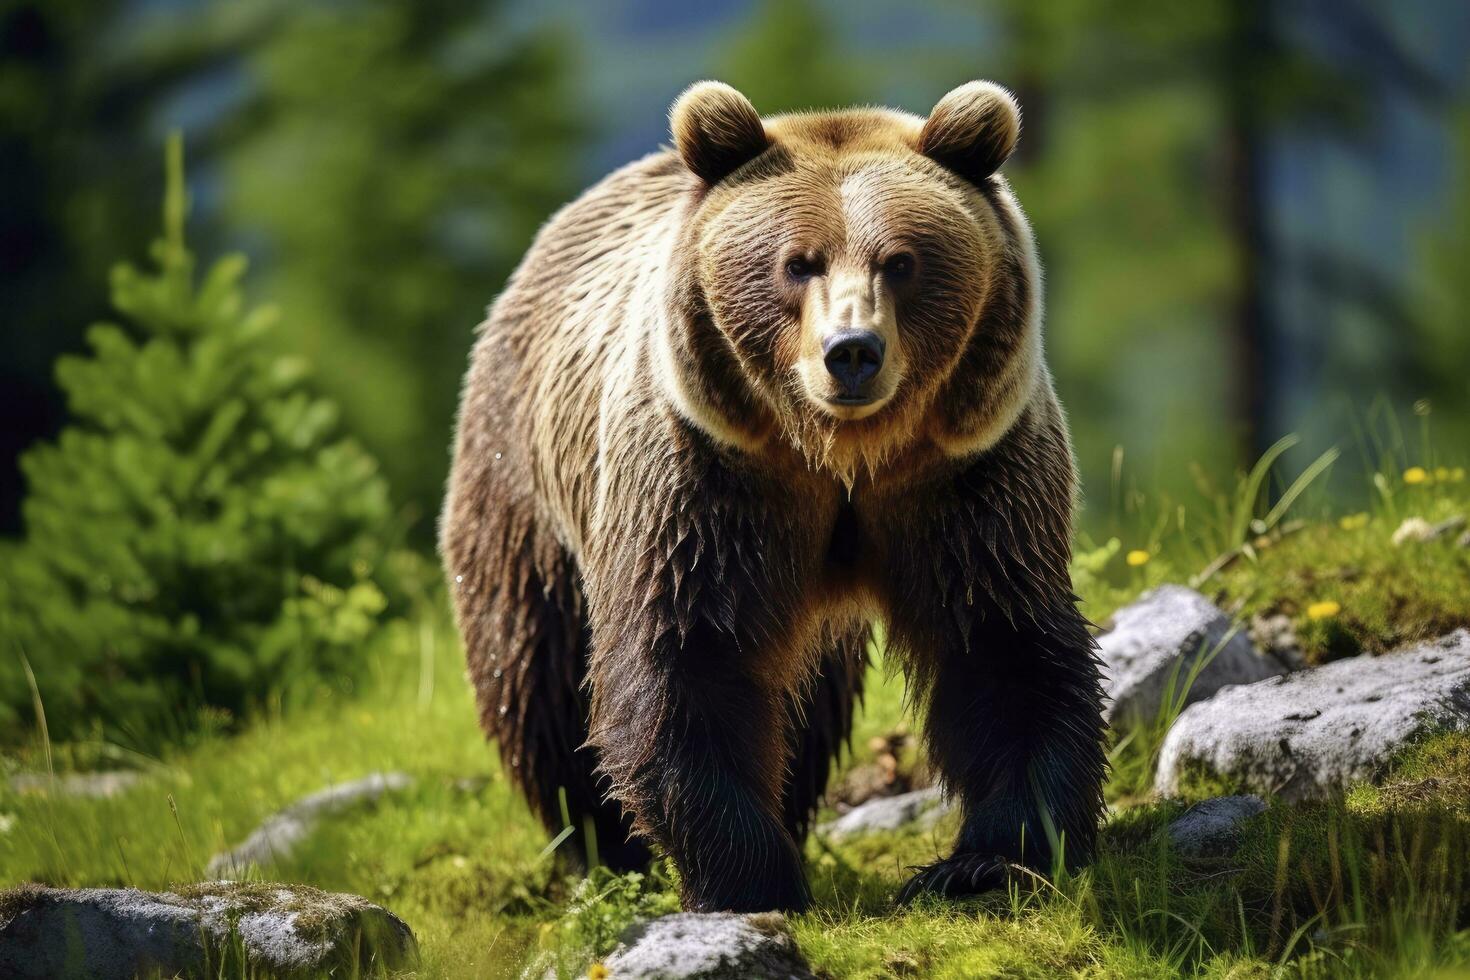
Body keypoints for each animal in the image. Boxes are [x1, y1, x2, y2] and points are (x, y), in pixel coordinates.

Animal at [441, 78, 1105, 910]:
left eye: (901, 261)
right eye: (798, 262)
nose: (851, 352)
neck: (841, 456)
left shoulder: (968, 473)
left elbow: (1002, 645)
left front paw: (990, 859)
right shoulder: (707, 480)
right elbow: (688, 657)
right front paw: (750, 875)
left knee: (809, 703)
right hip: (524, 480)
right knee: (540, 675)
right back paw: (602, 846)